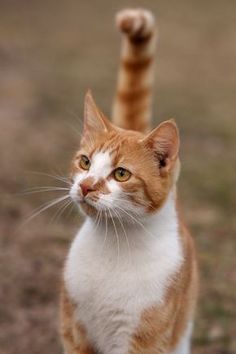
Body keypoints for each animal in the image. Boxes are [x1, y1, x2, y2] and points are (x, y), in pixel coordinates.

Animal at [60, 8, 198, 354]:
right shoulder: (74, 331)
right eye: (85, 162)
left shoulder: (143, 341)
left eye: (121, 174)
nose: (85, 186)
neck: (112, 245)